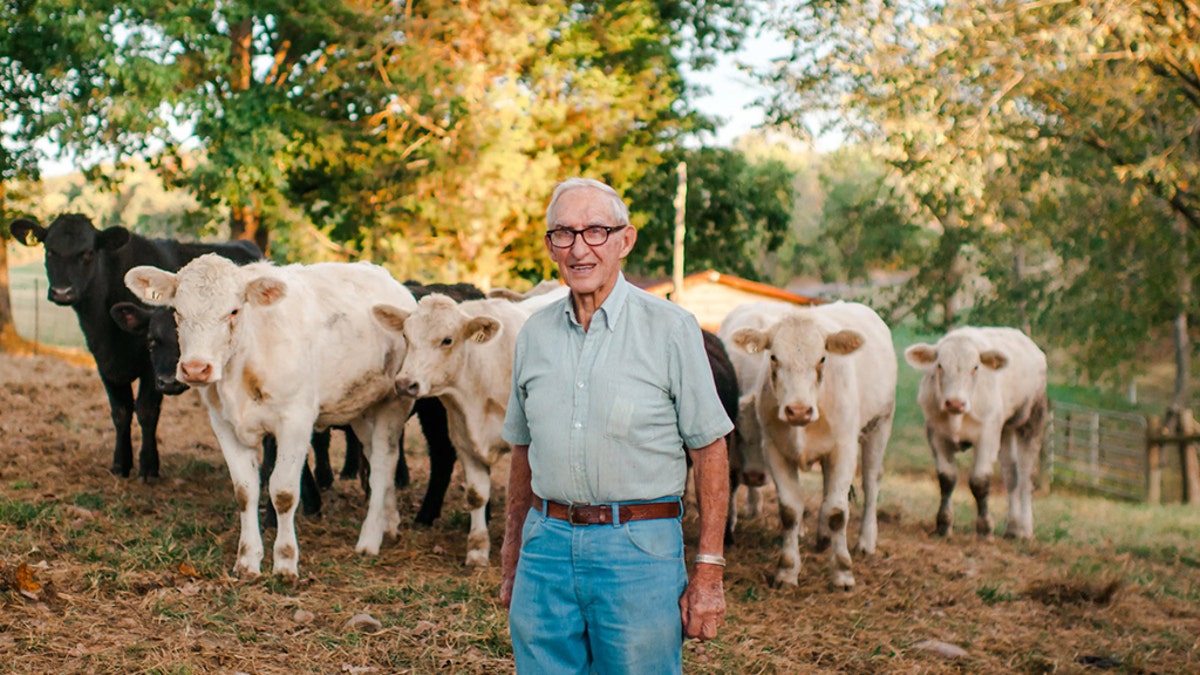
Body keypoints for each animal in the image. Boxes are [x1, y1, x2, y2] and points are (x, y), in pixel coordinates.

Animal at [11, 214, 260, 478]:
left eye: (88, 252)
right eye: (49, 250)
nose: (62, 292)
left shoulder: (153, 368)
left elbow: (146, 410)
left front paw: (149, 466)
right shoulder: (105, 364)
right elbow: (120, 412)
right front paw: (120, 463)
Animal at [126, 252, 417, 578]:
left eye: (234, 311)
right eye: (177, 311)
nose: (196, 369)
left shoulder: (296, 421)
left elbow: (283, 492)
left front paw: (286, 561)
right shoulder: (223, 424)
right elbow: (245, 491)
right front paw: (247, 560)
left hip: (393, 402)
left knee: (383, 463)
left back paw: (370, 538)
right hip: (360, 406)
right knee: (376, 456)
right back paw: (389, 522)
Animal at [372, 293, 528, 562]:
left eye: (447, 340)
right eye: (405, 335)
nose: (405, 383)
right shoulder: (463, 440)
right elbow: (476, 495)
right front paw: (477, 549)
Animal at [720, 302, 892, 586]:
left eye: (822, 358)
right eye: (774, 357)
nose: (798, 411)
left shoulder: (844, 448)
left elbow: (837, 511)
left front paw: (843, 571)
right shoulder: (775, 450)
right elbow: (790, 510)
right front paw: (787, 570)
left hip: (880, 425)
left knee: (870, 482)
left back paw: (866, 541)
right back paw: (822, 537)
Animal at [902, 326, 1046, 535]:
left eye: (976, 367)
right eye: (939, 365)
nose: (955, 402)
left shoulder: (987, 435)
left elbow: (980, 481)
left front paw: (985, 528)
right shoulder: (936, 435)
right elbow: (947, 478)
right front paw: (943, 525)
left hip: (1031, 419)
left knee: (1025, 475)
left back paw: (1024, 529)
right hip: (1004, 430)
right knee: (1011, 475)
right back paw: (1012, 527)